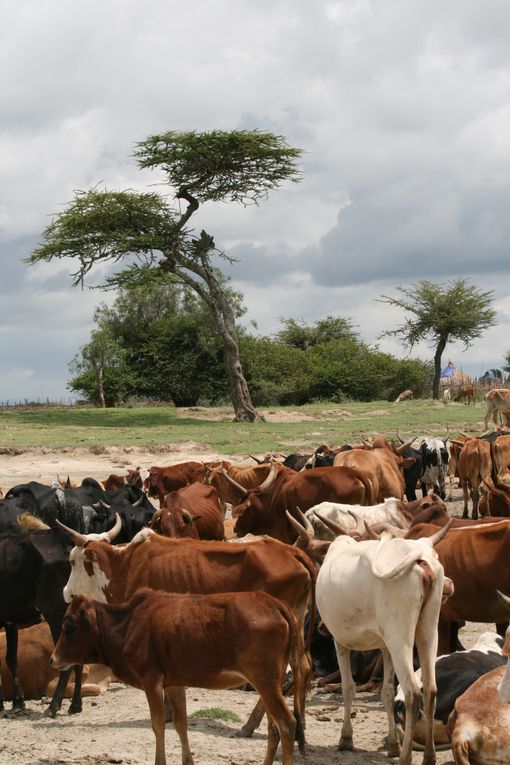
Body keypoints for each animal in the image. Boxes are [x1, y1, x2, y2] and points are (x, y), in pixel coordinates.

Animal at [50, 588, 306, 764]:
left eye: (69, 626)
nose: (53, 659)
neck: (128, 624)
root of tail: (274, 603)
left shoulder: (151, 680)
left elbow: (158, 726)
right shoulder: (174, 683)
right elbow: (181, 724)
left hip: (265, 682)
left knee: (287, 724)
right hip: (271, 683)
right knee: (274, 729)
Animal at [316, 524, 452, 764]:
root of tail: (421, 556)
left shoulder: (340, 642)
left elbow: (348, 687)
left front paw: (346, 739)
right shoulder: (384, 647)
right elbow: (387, 691)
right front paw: (392, 744)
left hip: (400, 636)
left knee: (412, 691)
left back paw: (406, 756)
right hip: (427, 630)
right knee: (430, 690)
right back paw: (429, 755)